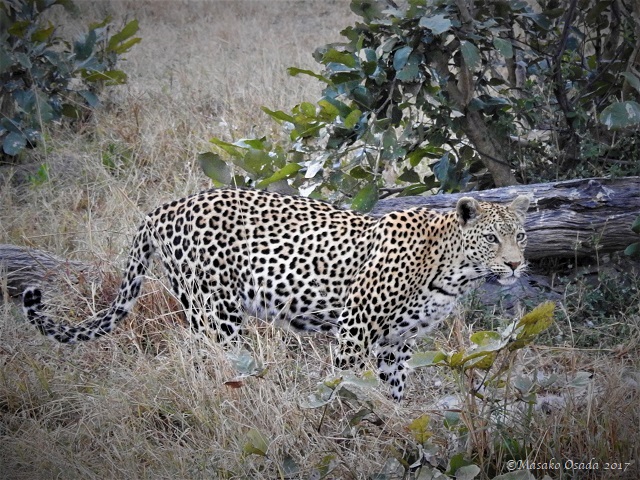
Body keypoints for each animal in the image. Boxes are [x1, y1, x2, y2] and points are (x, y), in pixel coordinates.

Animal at [23, 188, 530, 400]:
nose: (514, 264)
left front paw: (396, 418)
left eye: (521, 236)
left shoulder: (396, 342)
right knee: (216, 360)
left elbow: (395, 387)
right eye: (491, 239)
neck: (452, 271)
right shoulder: (356, 328)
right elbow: (345, 382)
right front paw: (347, 420)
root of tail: (162, 208)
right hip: (216, 311)